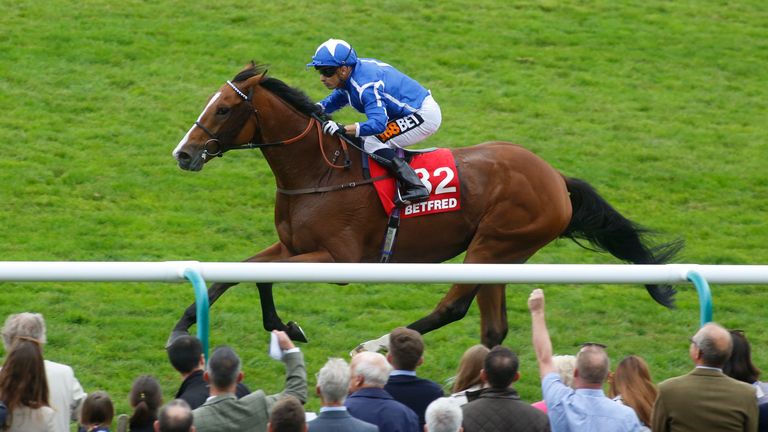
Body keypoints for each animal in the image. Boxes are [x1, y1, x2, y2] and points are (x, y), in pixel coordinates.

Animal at [171, 62, 680, 350]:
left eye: (222, 109)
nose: (184, 154)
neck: (320, 172)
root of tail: (555, 178)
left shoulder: (339, 258)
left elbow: (259, 274)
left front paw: (284, 327)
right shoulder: (291, 246)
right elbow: (241, 272)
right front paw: (187, 328)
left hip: (494, 244)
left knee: (452, 307)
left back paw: (377, 345)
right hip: (502, 254)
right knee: (491, 328)